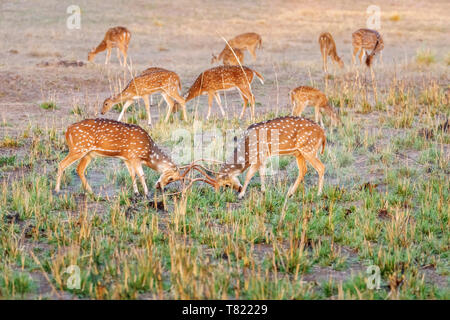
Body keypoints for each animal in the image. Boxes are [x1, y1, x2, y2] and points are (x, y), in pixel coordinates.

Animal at [53, 119, 202, 196]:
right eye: (171, 178)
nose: (159, 187)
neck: (148, 153)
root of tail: (67, 131)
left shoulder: (127, 158)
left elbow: (132, 175)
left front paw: (136, 193)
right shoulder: (135, 156)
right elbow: (141, 174)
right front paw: (146, 193)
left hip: (89, 153)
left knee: (79, 169)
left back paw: (90, 191)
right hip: (78, 148)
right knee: (61, 164)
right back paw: (57, 190)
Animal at [193, 116, 326, 199]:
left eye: (226, 184)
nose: (239, 189)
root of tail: (323, 134)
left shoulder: (258, 155)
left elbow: (249, 174)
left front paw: (241, 195)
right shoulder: (263, 156)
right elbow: (262, 172)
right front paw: (263, 190)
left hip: (309, 149)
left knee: (321, 167)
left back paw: (319, 194)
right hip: (299, 153)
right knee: (303, 170)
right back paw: (290, 193)